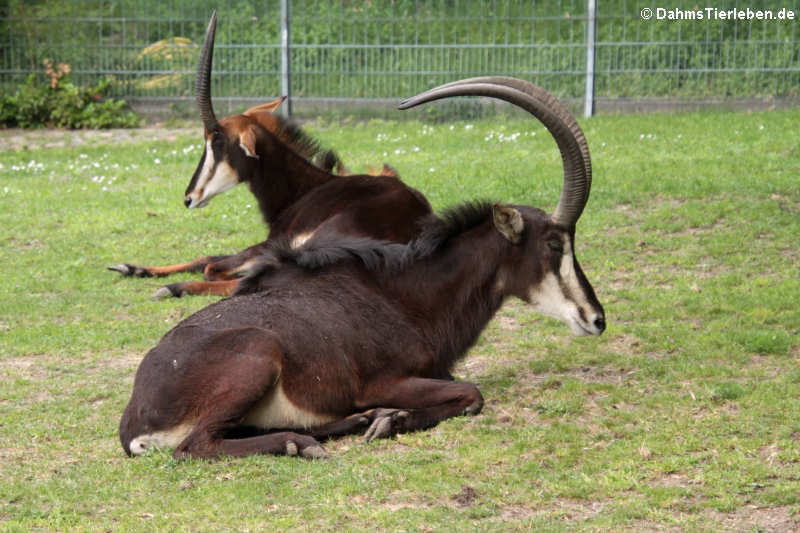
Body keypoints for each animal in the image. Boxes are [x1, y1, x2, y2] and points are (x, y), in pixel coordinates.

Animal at [119, 77, 608, 460]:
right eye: (554, 243)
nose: (596, 319)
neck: (406, 296)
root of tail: (134, 424)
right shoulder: (384, 381)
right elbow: (473, 393)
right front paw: (393, 419)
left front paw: (387, 419)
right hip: (257, 356)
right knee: (196, 445)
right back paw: (305, 442)